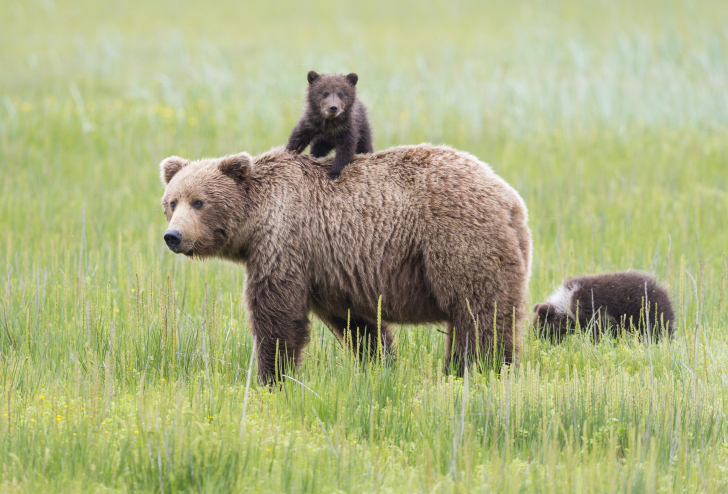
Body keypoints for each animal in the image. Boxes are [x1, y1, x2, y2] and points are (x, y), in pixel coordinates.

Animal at [159, 145, 532, 384]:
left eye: (199, 202)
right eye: (172, 202)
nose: (173, 236)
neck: (255, 221)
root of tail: (510, 200)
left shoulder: (285, 242)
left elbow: (276, 314)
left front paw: (271, 377)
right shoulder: (333, 268)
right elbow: (359, 323)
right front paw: (379, 366)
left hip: (458, 240)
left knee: (479, 313)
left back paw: (482, 370)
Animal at [528, 272, 676, 342]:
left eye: (540, 328)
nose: (536, 341)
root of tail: (662, 290)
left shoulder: (591, 309)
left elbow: (598, 331)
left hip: (647, 311)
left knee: (657, 330)